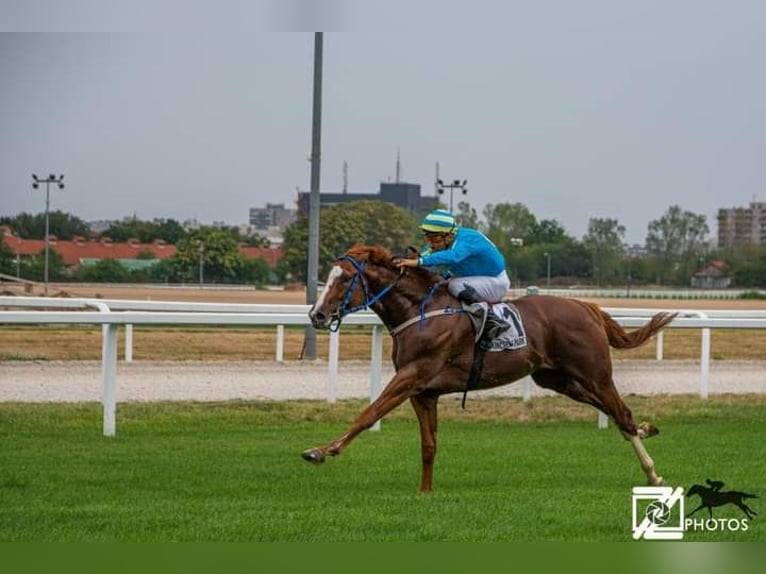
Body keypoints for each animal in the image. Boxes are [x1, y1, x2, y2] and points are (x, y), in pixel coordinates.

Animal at [304, 245, 676, 492]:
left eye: (345, 279)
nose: (316, 315)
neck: (419, 312)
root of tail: (587, 306)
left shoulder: (411, 376)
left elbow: (368, 414)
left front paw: (321, 450)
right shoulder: (424, 392)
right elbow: (429, 445)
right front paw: (425, 493)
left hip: (595, 374)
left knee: (621, 412)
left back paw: (652, 472)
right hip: (558, 380)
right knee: (615, 415)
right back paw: (647, 433)